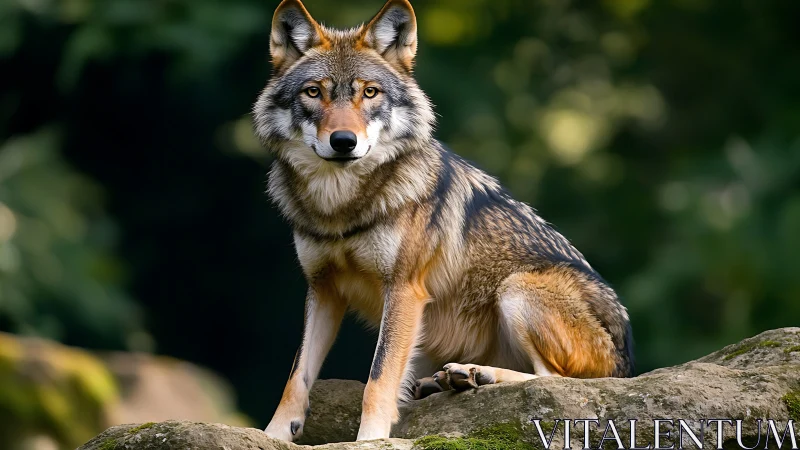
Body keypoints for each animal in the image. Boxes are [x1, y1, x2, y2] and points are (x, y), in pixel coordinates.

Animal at [253, 0, 634, 442]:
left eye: (370, 92)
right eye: (314, 92)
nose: (344, 142)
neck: (341, 207)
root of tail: (627, 366)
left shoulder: (404, 289)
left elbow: (378, 377)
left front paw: (370, 439)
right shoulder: (322, 289)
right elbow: (296, 375)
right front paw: (273, 433)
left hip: (517, 288)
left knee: (555, 381)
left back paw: (475, 373)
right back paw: (441, 381)